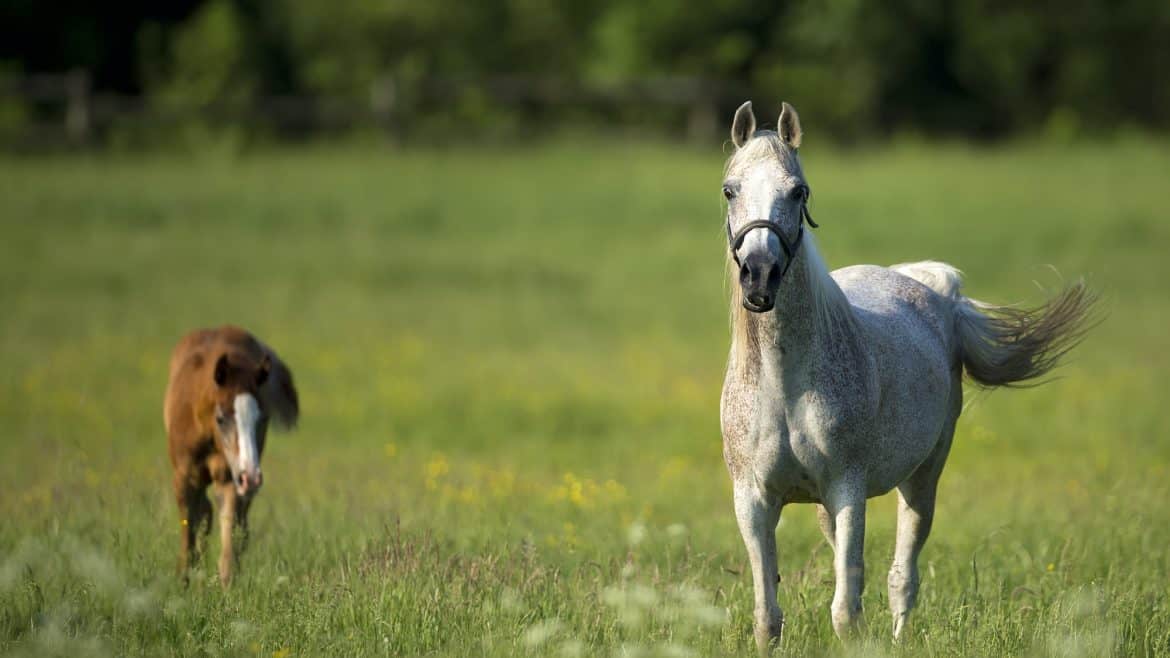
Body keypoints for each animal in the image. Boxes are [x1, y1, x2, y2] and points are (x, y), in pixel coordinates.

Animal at [164, 326, 299, 585]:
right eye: (221, 418)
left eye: (263, 419)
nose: (252, 477)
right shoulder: (184, 477)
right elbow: (188, 529)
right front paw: (183, 580)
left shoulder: (231, 478)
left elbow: (229, 537)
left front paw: (227, 587)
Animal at [718, 101, 1095, 652]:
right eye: (730, 189)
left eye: (798, 190)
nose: (760, 274)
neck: (784, 384)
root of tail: (932, 287)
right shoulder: (754, 500)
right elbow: (768, 618)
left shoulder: (848, 491)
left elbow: (846, 612)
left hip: (924, 476)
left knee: (902, 577)